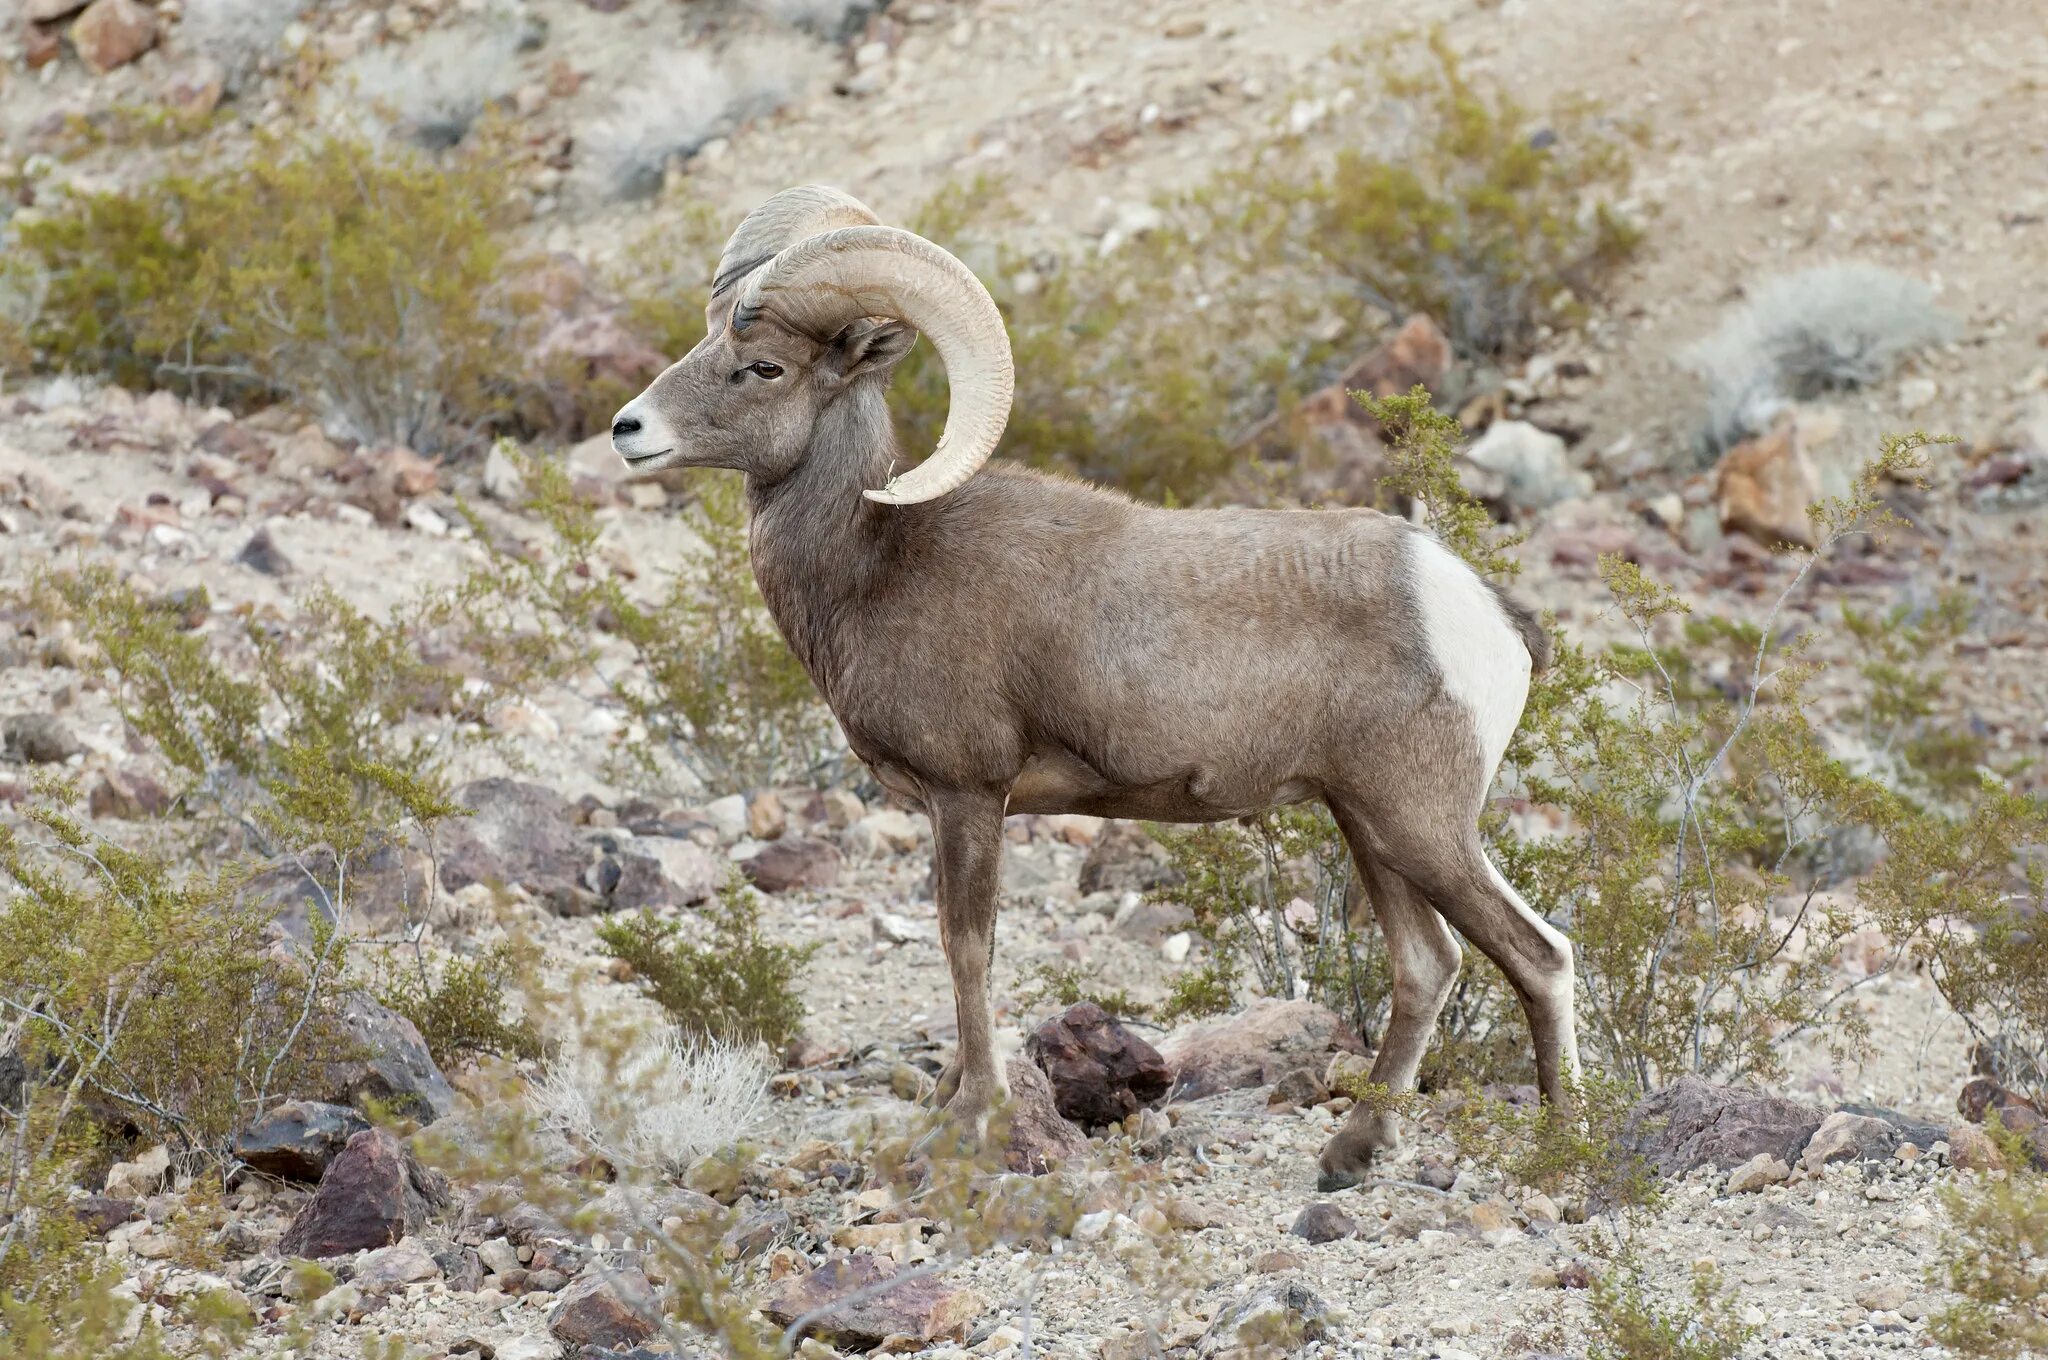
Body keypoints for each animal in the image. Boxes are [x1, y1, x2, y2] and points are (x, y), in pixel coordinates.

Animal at [614, 186, 1572, 1187]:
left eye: (763, 366)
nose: (628, 429)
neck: (876, 561)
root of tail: (1481, 609)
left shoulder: (968, 794)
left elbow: (968, 948)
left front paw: (975, 1119)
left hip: (1421, 825)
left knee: (1540, 957)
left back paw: (1561, 1150)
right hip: (1369, 826)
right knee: (1428, 965)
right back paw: (1351, 1154)